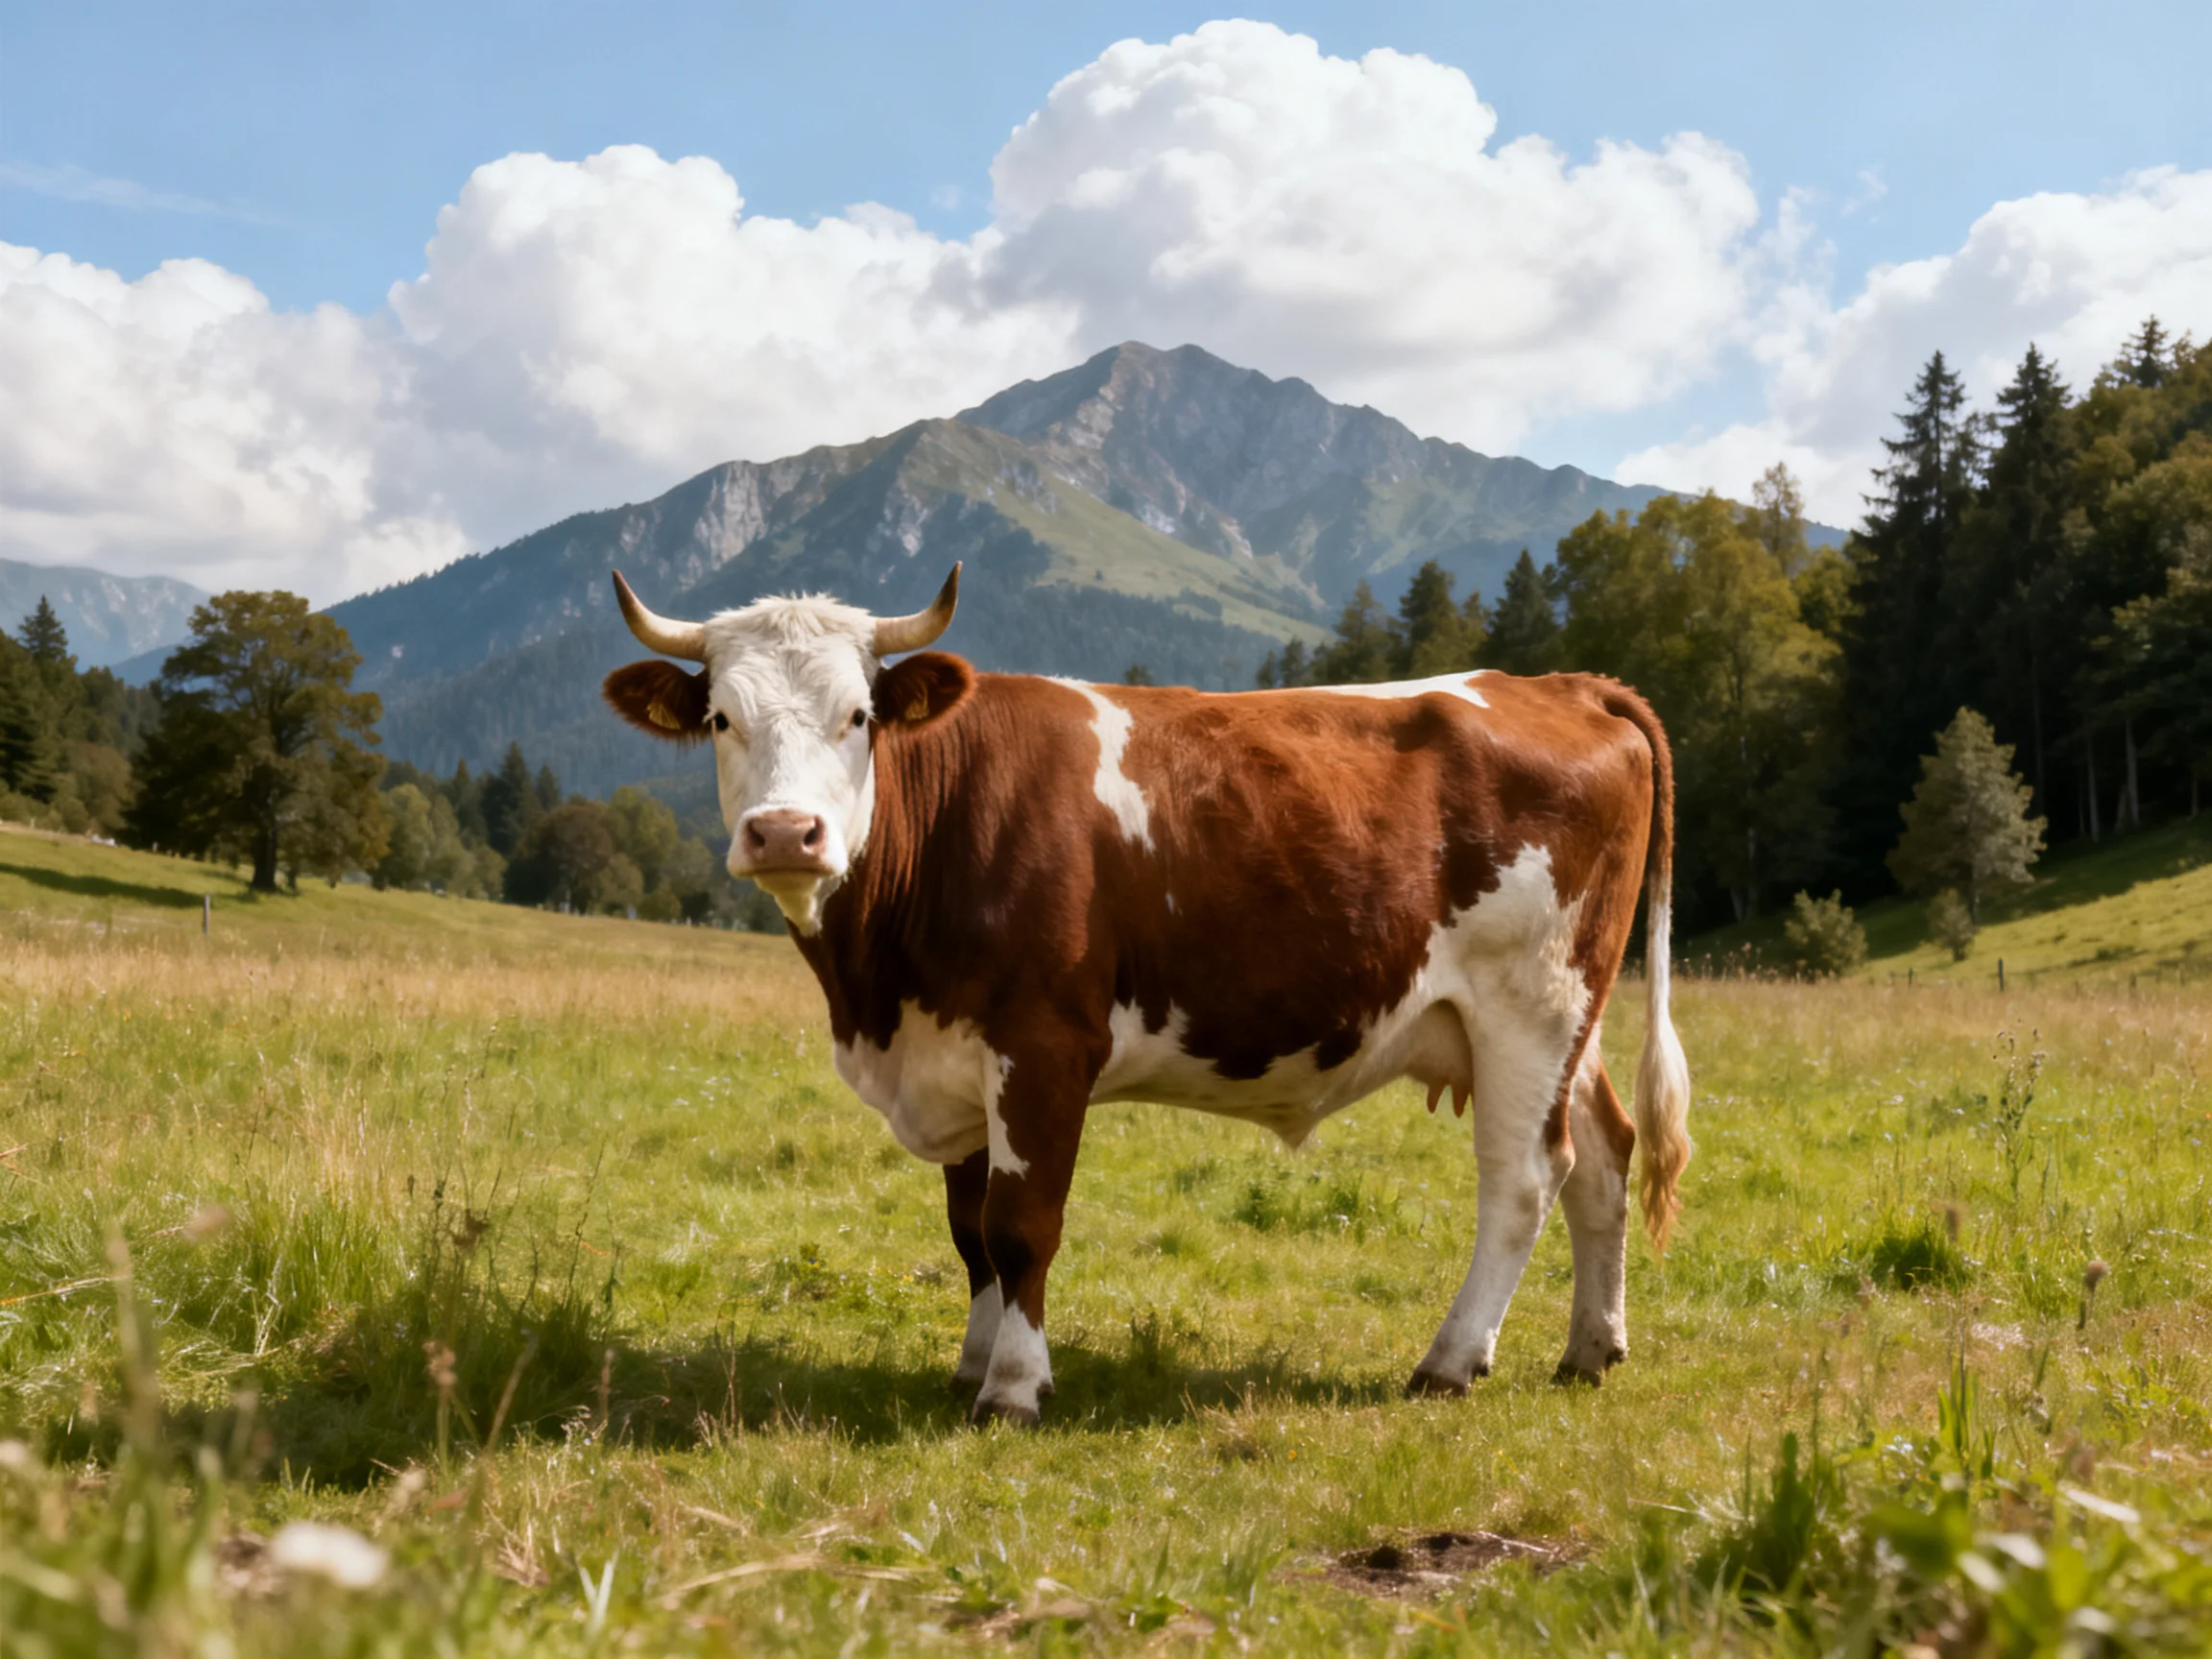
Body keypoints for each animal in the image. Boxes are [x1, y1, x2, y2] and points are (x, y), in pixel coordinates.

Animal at [602, 564, 1691, 1426]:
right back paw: (1590, 1349)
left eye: (859, 717)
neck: (879, 993)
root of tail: (1563, 684)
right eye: (721, 718)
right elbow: (969, 1232)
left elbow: (1020, 1225)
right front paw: (971, 1365)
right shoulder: (954, 1055)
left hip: (1528, 1004)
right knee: (1606, 1153)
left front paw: (1014, 1389)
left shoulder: (1042, 1045)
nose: (786, 833)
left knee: (1524, 1178)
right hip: (1570, 1015)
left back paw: (1449, 1363)